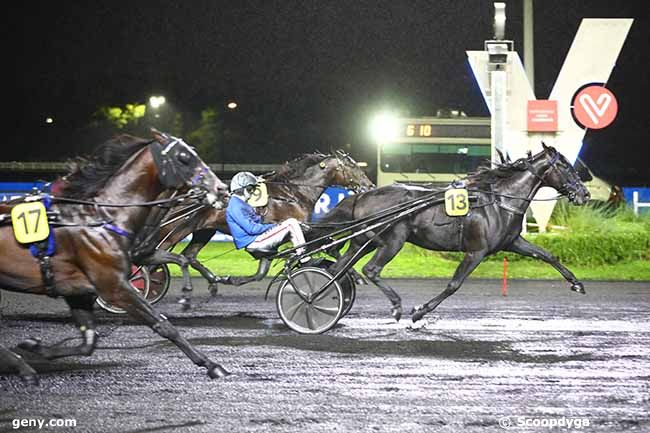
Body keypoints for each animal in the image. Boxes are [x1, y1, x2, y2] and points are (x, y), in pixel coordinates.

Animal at [0, 132, 230, 382]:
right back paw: (22, 366)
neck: (101, 218)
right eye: (184, 157)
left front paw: (35, 347)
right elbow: (162, 323)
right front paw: (211, 364)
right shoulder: (114, 286)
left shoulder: (76, 290)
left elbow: (89, 342)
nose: (221, 188)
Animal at [322, 143, 588, 322]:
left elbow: (546, 255)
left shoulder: (513, 242)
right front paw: (419, 313)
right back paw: (396, 305)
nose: (584, 194)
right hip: (393, 240)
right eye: (565, 166)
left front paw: (577, 284)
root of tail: (362, 195)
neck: (500, 200)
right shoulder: (476, 251)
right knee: (370, 270)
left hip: (366, 241)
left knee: (338, 270)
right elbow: (454, 284)